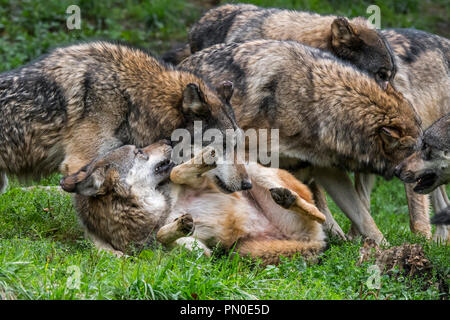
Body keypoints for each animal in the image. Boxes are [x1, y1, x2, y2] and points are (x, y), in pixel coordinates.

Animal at [60, 141, 326, 264]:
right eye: (139, 152)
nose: (168, 140)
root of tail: (315, 242)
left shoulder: (205, 183)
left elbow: (178, 173)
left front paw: (201, 160)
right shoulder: (196, 252)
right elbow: (164, 238)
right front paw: (177, 227)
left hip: (257, 173)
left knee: (318, 212)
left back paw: (288, 198)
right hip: (244, 249)